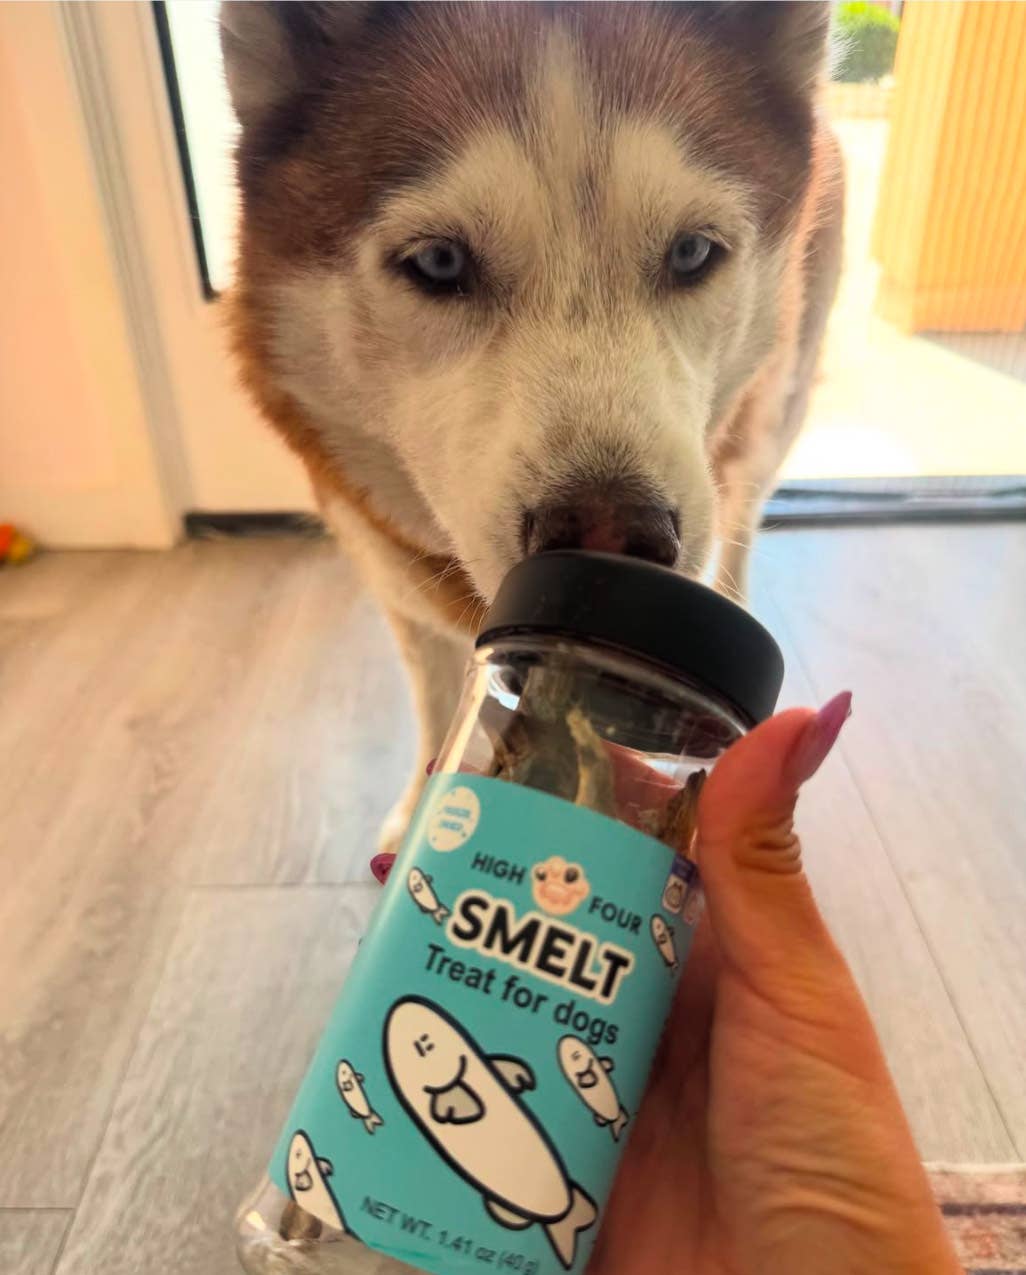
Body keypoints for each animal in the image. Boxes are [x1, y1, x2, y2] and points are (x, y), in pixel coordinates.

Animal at [219, 1, 843, 852]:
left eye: (691, 251)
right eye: (439, 262)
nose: (613, 542)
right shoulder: (397, 587)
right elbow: (436, 695)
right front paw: (423, 806)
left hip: (777, 413)